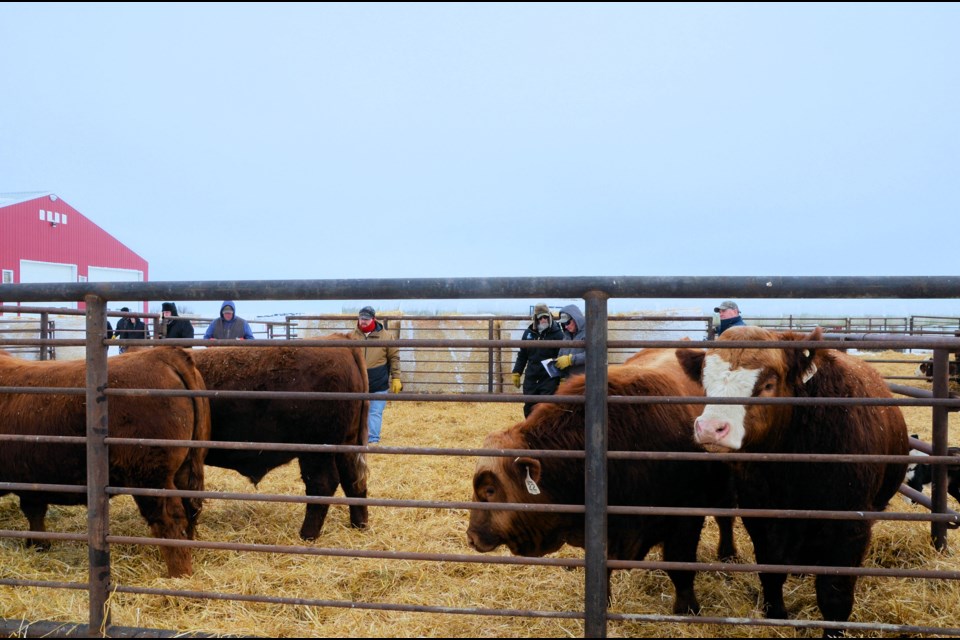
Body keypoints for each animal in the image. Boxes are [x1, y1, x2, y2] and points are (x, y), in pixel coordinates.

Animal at [0, 348, 210, 576]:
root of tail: (162, 353)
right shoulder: (31, 480)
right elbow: (34, 512)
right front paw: (38, 545)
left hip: (151, 477)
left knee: (170, 519)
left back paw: (178, 574)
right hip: (185, 468)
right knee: (190, 511)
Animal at [191, 340, 368, 540]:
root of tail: (342, 341)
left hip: (316, 451)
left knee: (323, 484)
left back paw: (308, 534)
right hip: (346, 445)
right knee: (353, 481)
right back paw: (359, 525)